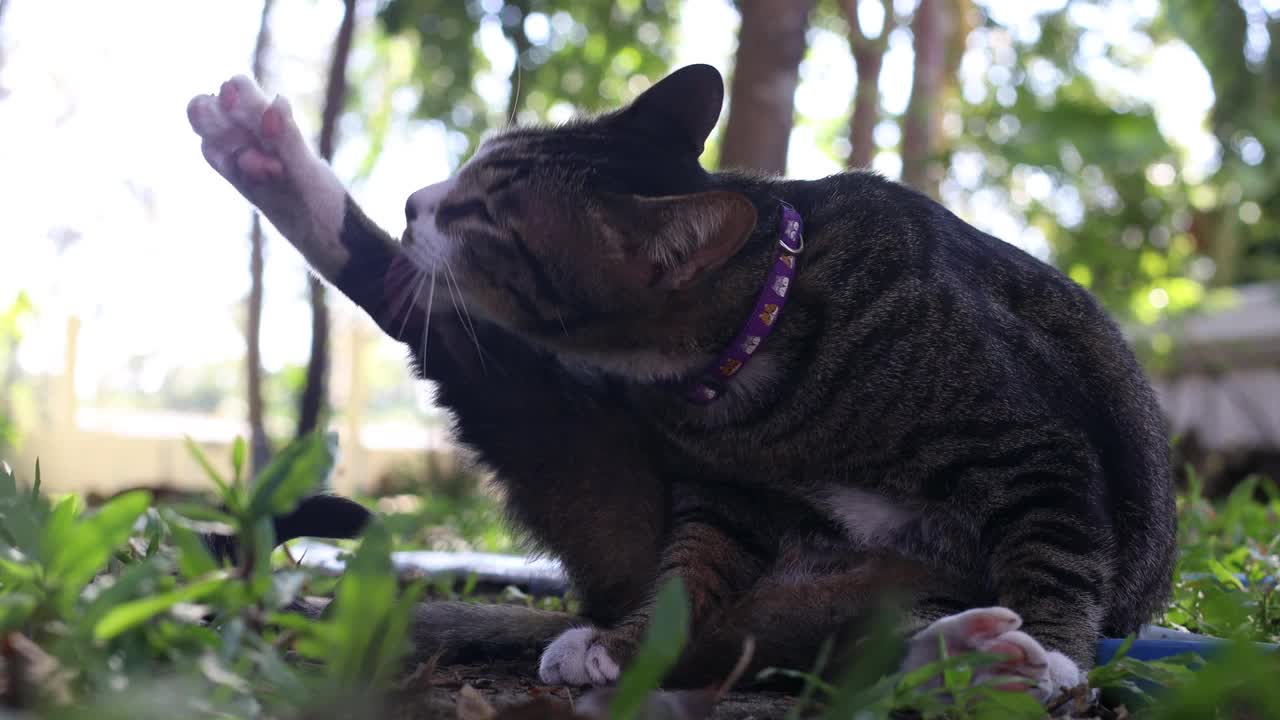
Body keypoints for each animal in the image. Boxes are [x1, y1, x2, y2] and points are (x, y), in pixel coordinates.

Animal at [185, 63, 1172, 702]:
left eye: (484, 216)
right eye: (468, 171)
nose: (416, 204)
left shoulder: (1029, 442)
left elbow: (1054, 543)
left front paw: (1052, 650)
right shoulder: (720, 485)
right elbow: (690, 570)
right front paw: (633, 645)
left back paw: (966, 658)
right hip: (580, 449)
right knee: (428, 323)